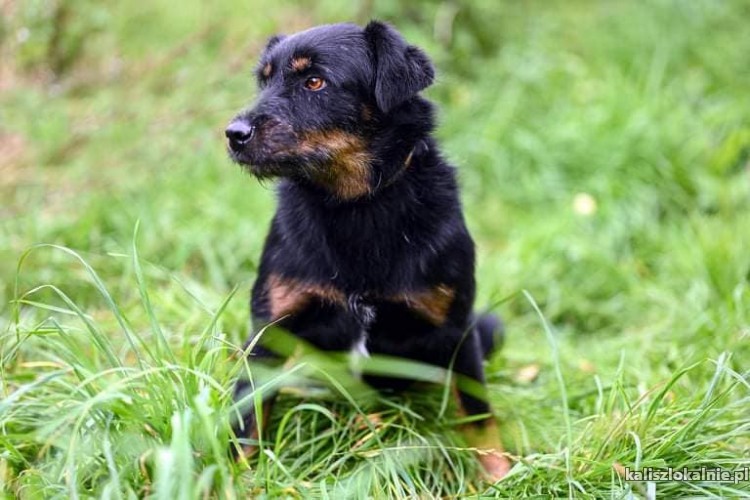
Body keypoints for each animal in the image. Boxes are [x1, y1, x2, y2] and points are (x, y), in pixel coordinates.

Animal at [225, 21, 511, 481]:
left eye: (315, 81)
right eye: (264, 81)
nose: (234, 134)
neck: (354, 207)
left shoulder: (456, 331)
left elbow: (478, 414)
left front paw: (499, 476)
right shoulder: (270, 330)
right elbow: (248, 415)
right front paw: (237, 480)